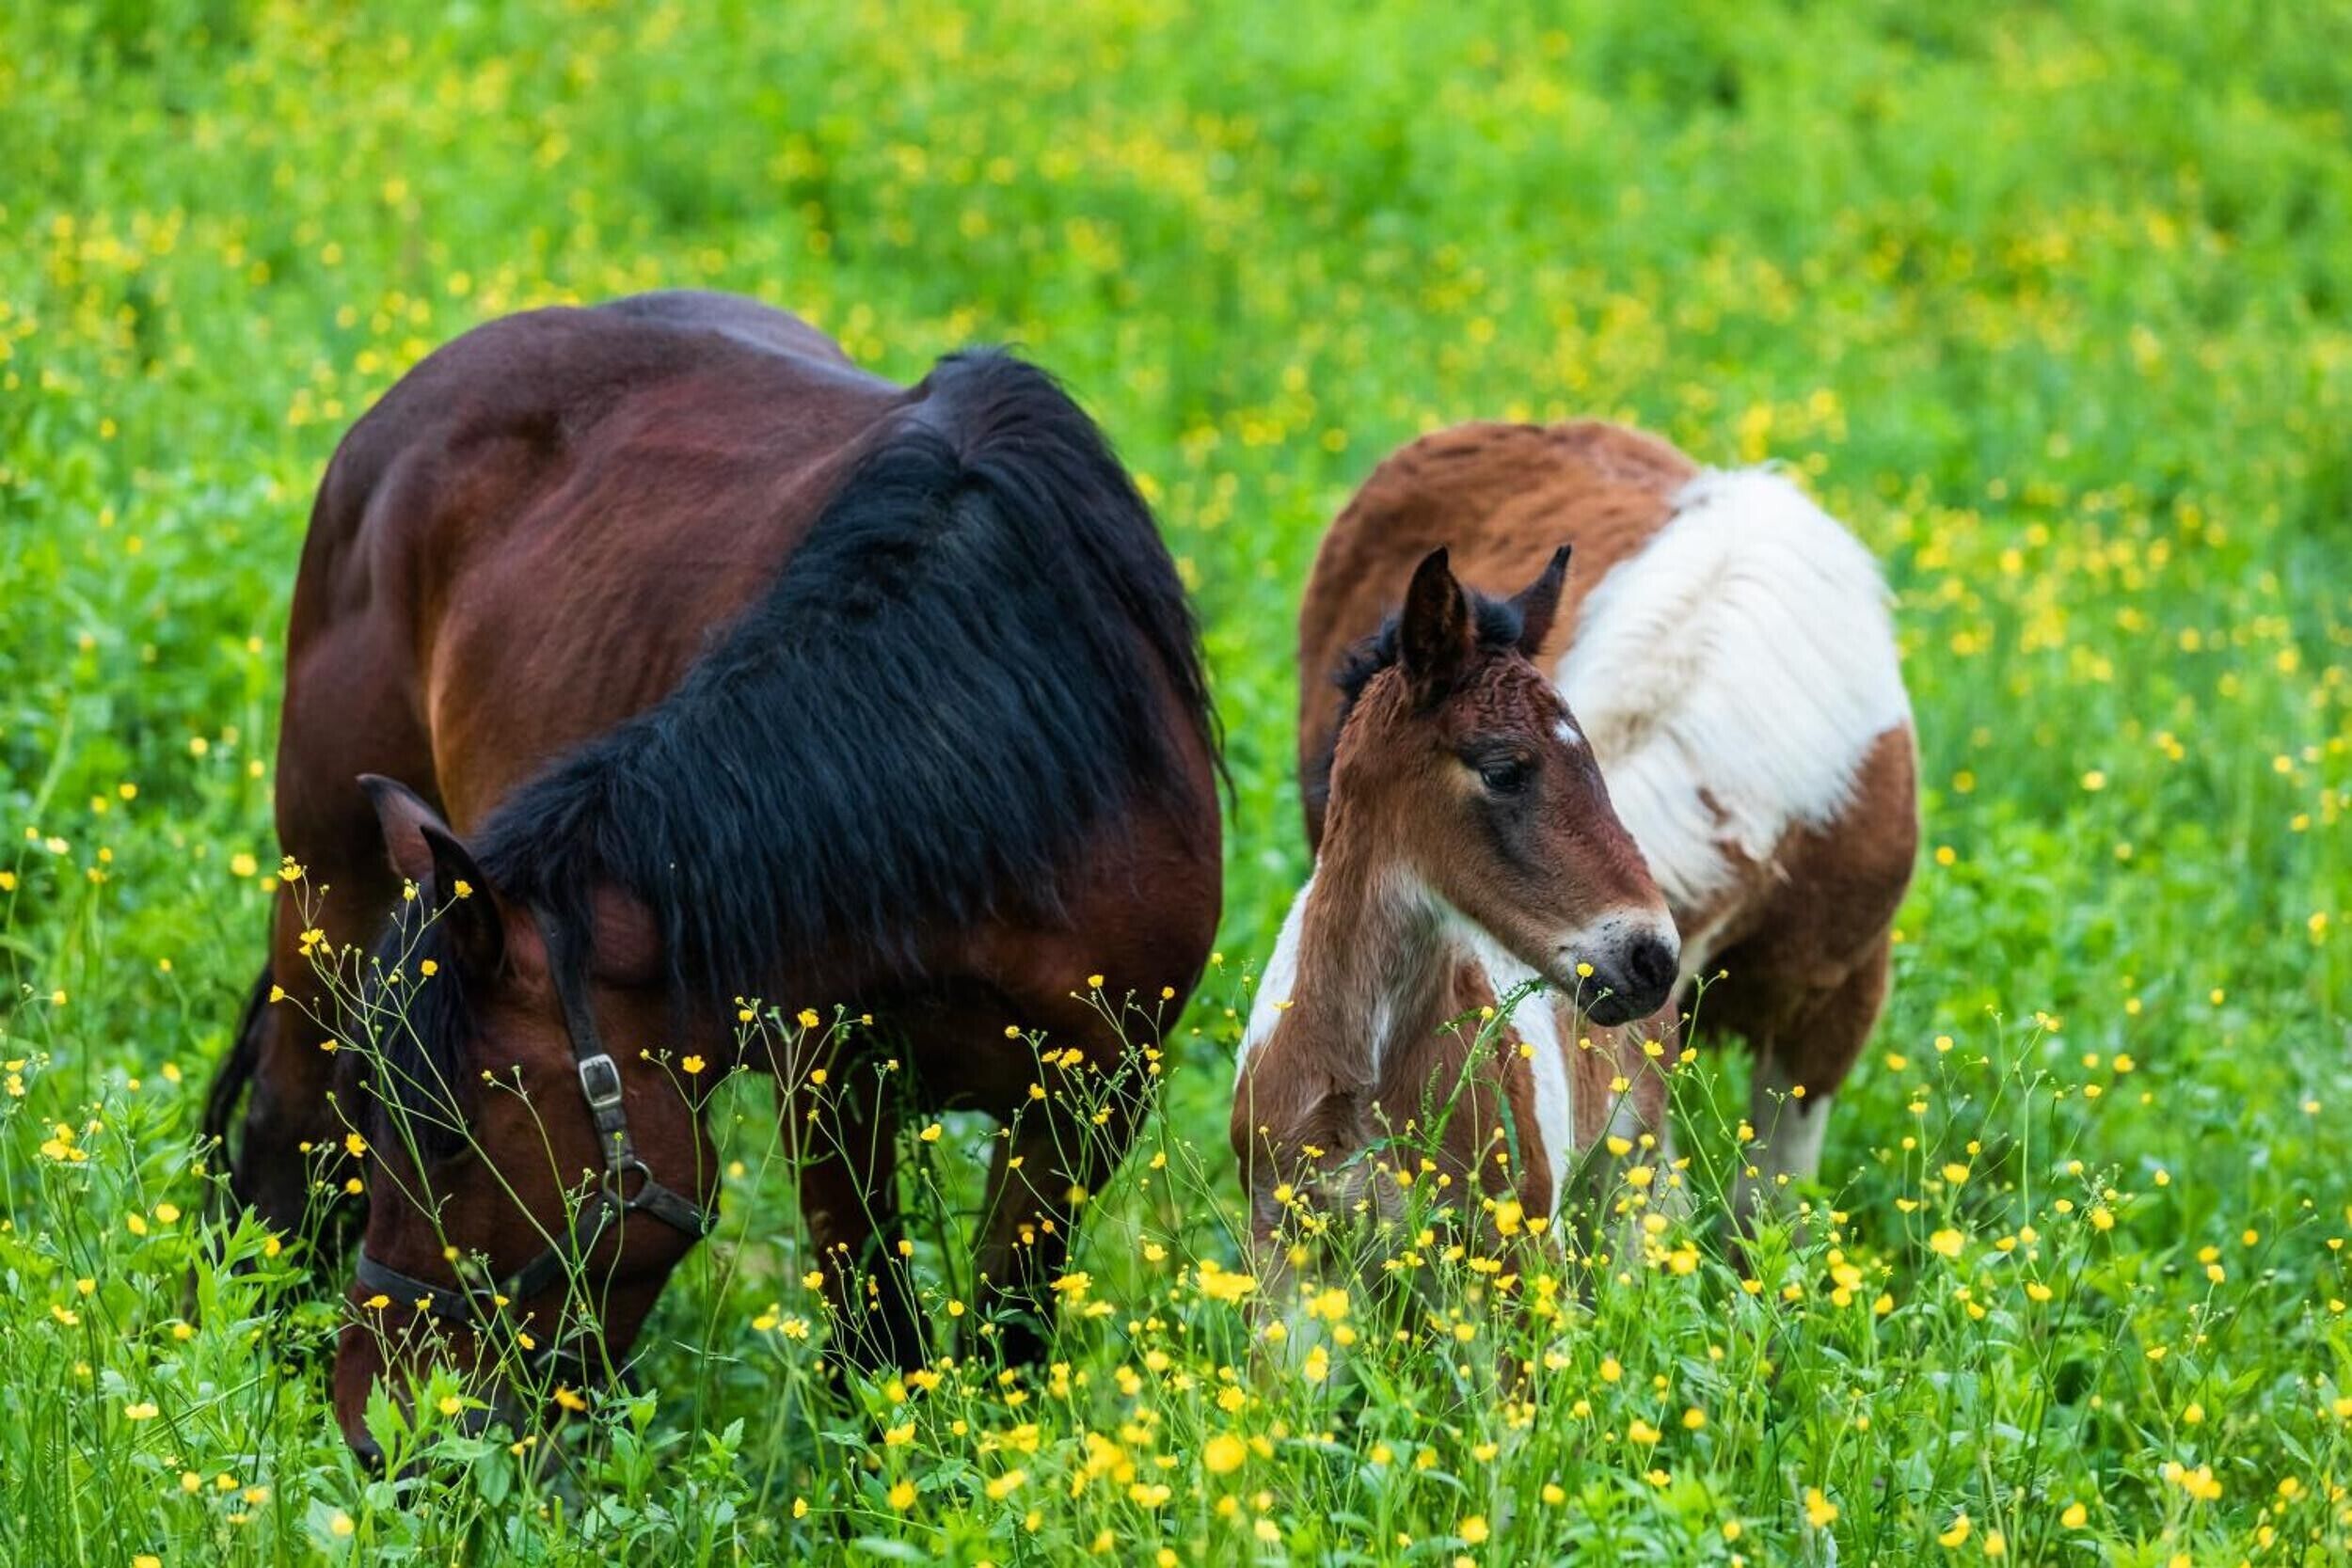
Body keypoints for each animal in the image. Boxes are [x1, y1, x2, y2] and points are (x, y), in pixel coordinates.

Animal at [198, 291, 1222, 1455]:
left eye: (455, 1140)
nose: (380, 1437)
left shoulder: (1097, 1089)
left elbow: (1002, 1327)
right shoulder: (830, 1076)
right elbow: (875, 1328)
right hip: (328, 884)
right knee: (283, 1125)